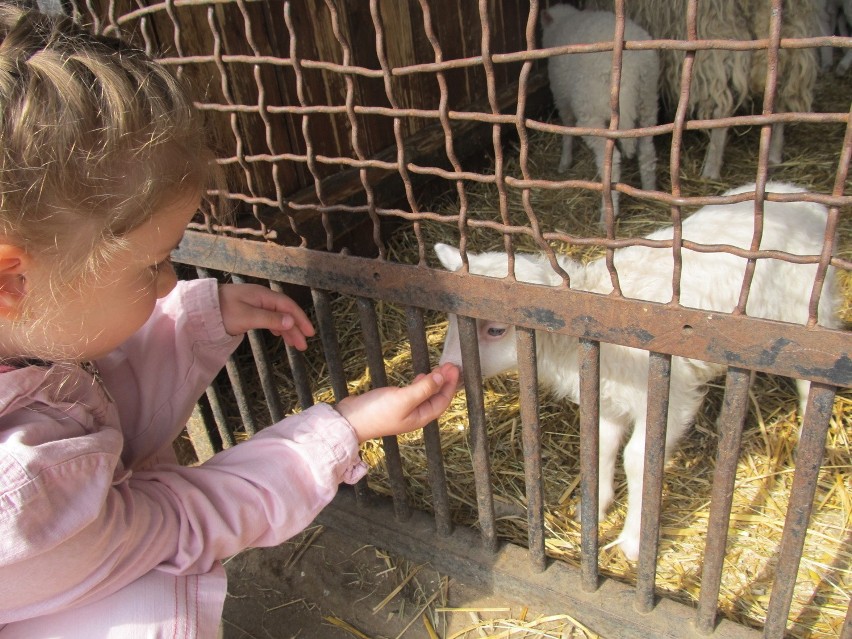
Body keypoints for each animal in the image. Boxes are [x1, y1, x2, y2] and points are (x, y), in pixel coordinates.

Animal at [436, 182, 844, 564]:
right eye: (453, 319)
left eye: (496, 330)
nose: (448, 370)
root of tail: (798, 194)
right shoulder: (605, 393)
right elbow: (600, 445)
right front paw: (594, 508)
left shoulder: (668, 397)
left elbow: (638, 460)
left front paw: (633, 540)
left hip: (806, 318)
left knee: (810, 382)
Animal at [540, 3, 660, 224]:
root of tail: (631, 70)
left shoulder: (561, 98)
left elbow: (567, 129)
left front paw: (564, 162)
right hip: (648, 102)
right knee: (647, 153)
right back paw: (649, 192)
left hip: (592, 114)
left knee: (611, 164)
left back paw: (607, 216)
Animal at [584, 0, 824, 180]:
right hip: (791, 31)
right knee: (779, 92)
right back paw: (773, 155)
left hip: (713, 34)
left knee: (723, 107)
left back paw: (710, 169)